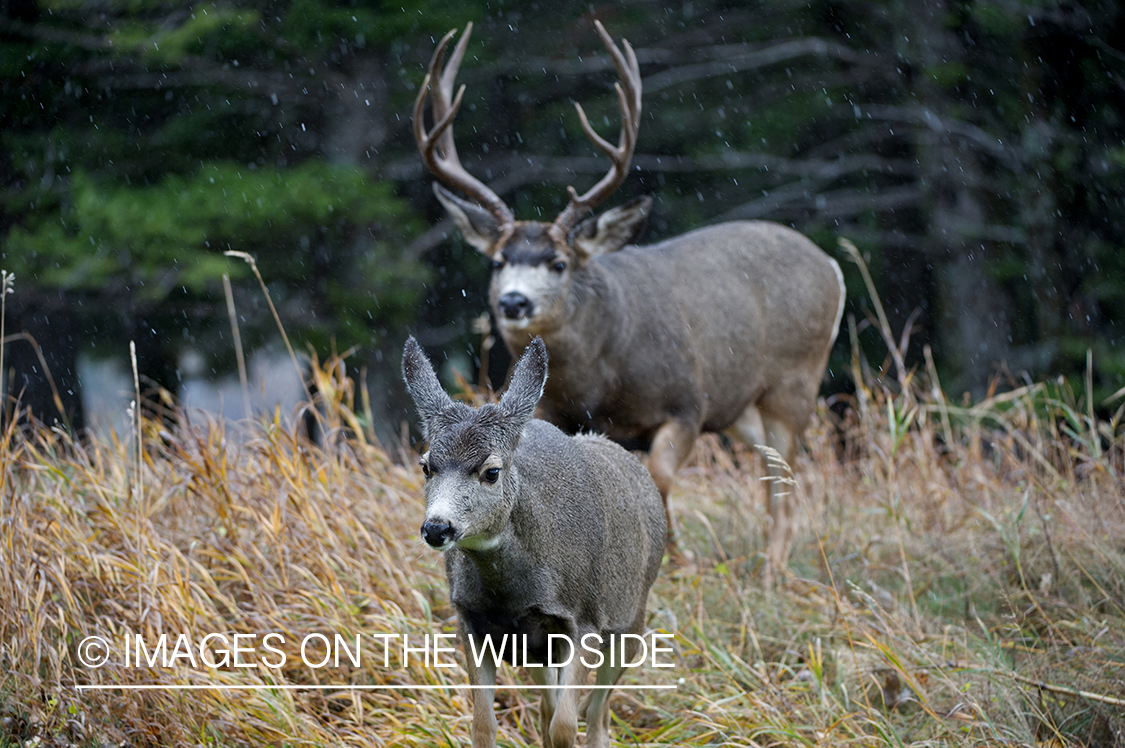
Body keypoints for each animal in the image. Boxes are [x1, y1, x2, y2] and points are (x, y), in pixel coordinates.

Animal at [402, 336, 666, 748]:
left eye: (491, 471)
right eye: (427, 465)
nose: (436, 528)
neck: (510, 594)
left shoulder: (585, 620)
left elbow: (565, 726)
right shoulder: (471, 621)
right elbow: (484, 725)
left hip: (631, 621)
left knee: (598, 713)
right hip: (538, 649)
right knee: (551, 707)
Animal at [413, 21, 846, 583]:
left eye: (559, 263)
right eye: (498, 260)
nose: (513, 301)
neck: (600, 377)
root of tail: (831, 264)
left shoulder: (688, 401)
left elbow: (658, 474)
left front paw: (676, 557)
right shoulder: (556, 411)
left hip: (795, 381)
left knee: (785, 482)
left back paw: (771, 572)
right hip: (743, 404)